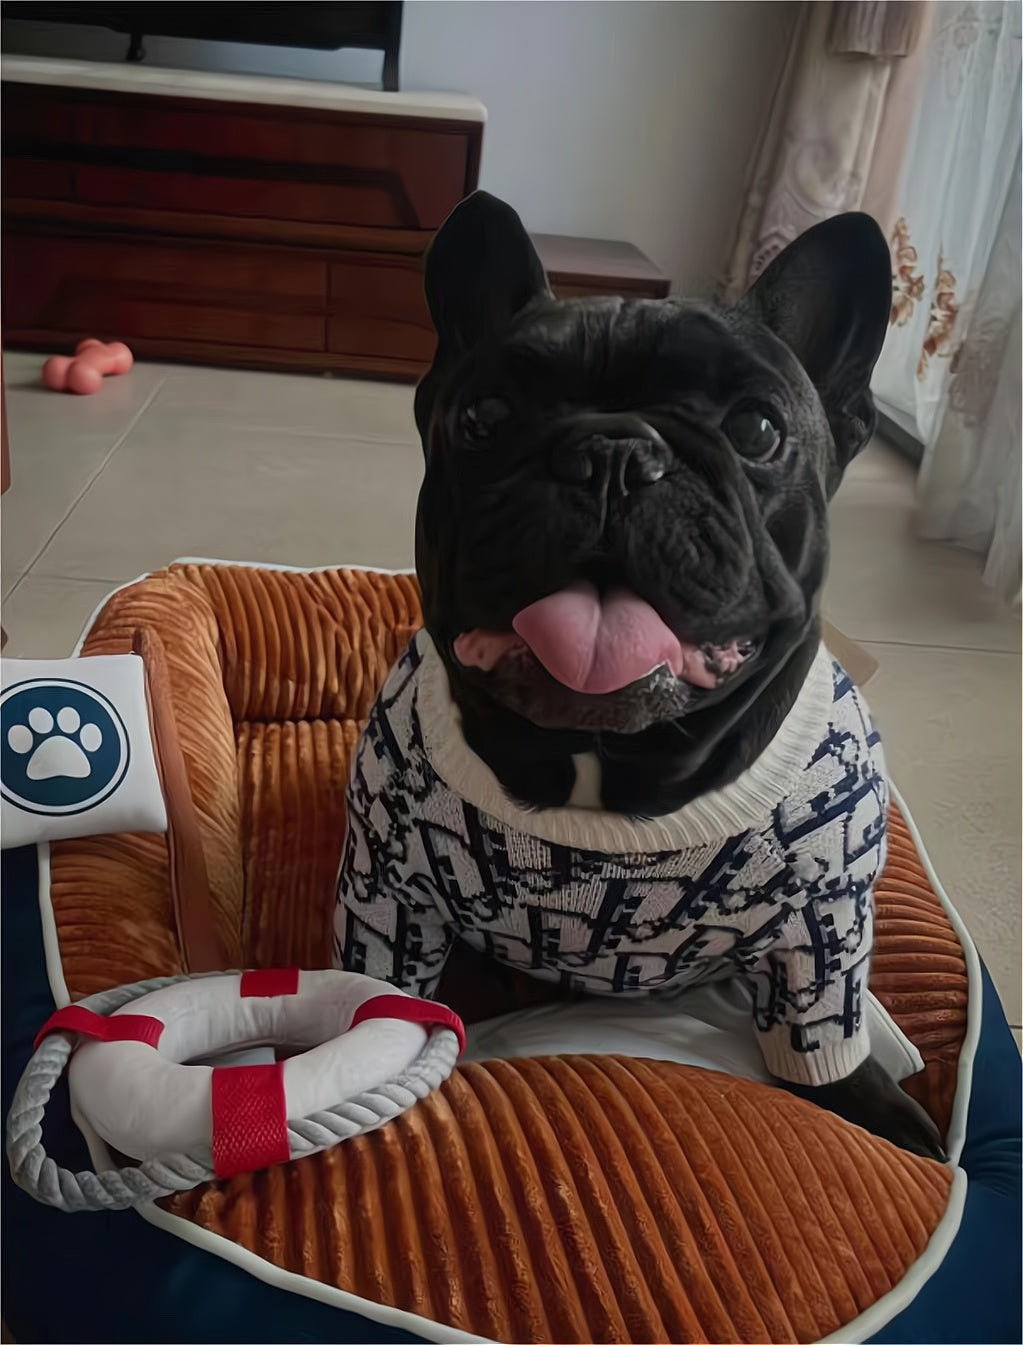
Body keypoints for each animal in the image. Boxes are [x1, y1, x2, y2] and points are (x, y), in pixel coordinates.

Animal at [334, 191, 944, 1161]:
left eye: (759, 431)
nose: (611, 452)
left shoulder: (825, 924)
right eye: (484, 416)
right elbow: (382, 988)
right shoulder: (387, 889)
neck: (604, 769)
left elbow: (822, 1033)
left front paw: (877, 1109)